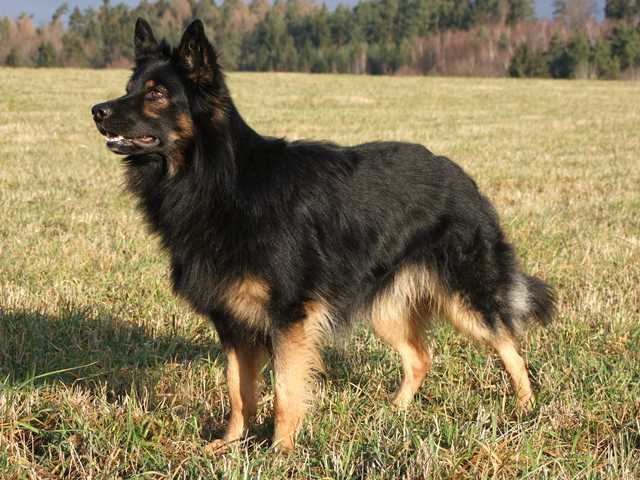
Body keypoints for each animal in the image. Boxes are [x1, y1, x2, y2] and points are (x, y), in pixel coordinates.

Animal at [91, 18, 555, 451]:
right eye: (129, 88)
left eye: (156, 94)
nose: (97, 110)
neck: (218, 178)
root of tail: (460, 175)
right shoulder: (233, 323)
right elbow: (239, 392)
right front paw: (230, 443)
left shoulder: (288, 317)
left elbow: (284, 391)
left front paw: (279, 451)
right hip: (385, 307)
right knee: (420, 357)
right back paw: (394, 410)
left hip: (465, 299)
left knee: (510, 346)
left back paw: (527, 408)